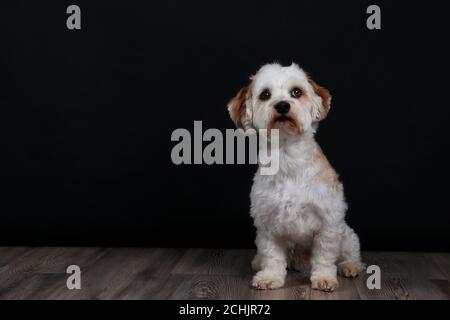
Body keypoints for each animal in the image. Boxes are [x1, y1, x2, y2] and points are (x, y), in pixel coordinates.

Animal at [227, 61, 364, 292]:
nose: (282, 105)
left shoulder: (328, 221)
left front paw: (324, 277)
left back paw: (350, 266)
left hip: (345, 233)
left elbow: (325, 254)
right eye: (265, 94)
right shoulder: (267, 223)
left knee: (351, 251)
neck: (288, 158)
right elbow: (272, 255)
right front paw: (270, 276)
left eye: (296, 92)